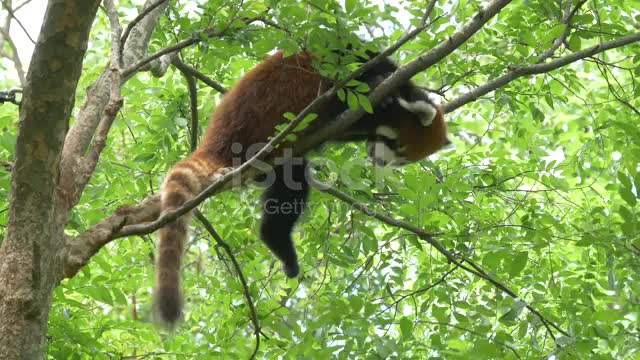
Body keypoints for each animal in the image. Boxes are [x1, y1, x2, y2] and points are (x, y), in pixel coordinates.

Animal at [154, 48, 450, 326]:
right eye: (393, 143)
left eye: (400, 159)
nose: (378, 159)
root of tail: (217, 140)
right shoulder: (356, 69)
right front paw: (377, 88)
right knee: (291, 187)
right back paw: (278, 240)